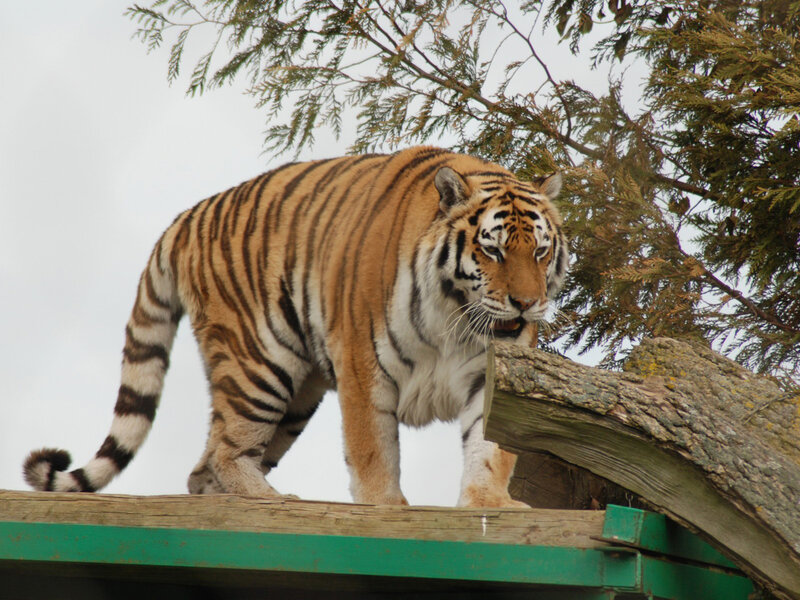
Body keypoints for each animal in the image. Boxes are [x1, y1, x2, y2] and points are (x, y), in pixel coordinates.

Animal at [23, 146, 568, 507]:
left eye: (541, 251)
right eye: (493, 250)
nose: (526, 305)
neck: (454, 315)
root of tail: (183, 217)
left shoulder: (485, 375)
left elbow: (489, 447)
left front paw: (488, 505)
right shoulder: (363, 366)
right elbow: (374, 453)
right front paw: (385, 509)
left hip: (296, 397)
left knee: (204, 468)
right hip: (259, 365)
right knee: (225, 453)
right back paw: (277, 501)